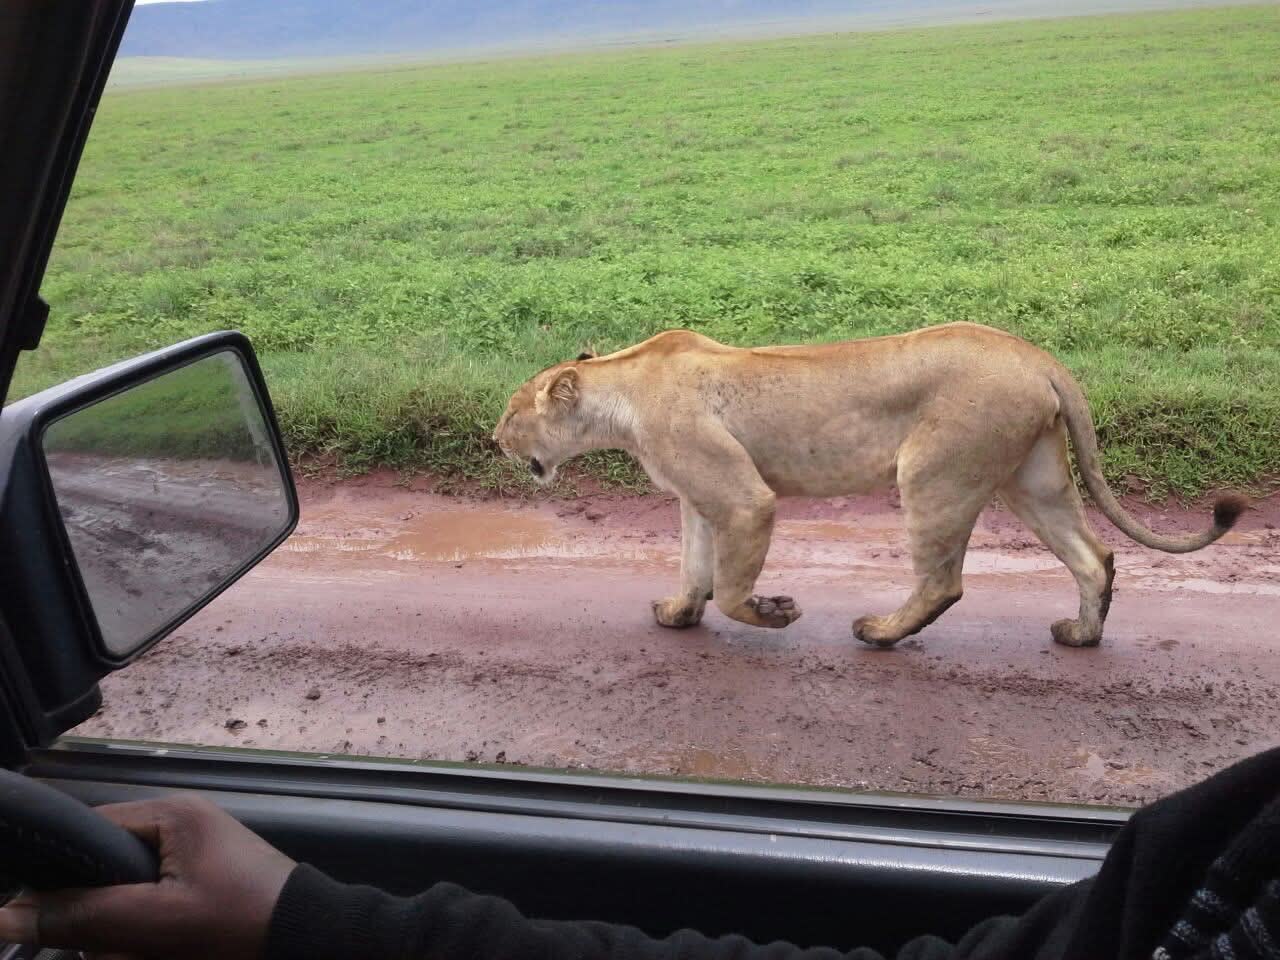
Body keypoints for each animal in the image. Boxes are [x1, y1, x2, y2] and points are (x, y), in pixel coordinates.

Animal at [493, 323, 1246, 648]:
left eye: (510, 410)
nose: (494, 439)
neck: (622, 387)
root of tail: (1035, 354)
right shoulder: (697, 498)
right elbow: (695, 567)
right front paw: (678, 614)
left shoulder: (742, 498)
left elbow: (731, 586)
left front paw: (773, 612)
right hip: (1032, 481)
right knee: (1095, 558)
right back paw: (1080, 635)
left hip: (937, 472)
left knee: (944, 582)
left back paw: (880, 633)